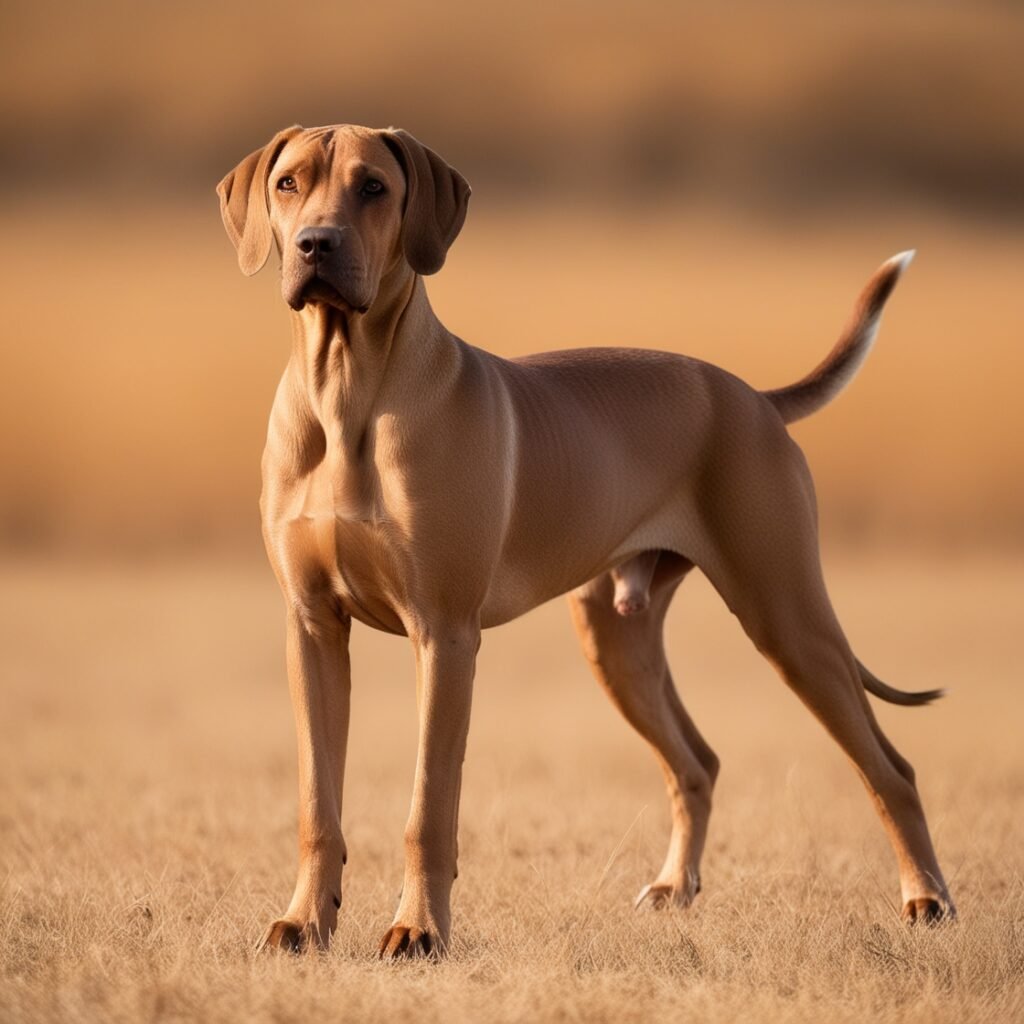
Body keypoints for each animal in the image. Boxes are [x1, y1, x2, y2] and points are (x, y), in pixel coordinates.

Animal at [218, 123, 958, 954]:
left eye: (372, 186)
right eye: (289, 182)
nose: (315, 243)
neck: (346, 390)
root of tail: (754, 398)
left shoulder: (445, 635)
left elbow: (429, 809)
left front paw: (419, 931)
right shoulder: (313, 627)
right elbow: (318, 804)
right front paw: (304, 921)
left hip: (788, 617)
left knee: (890, 769)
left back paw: (927, 898)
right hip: (616, 636)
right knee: (698, 761)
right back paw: (675, 886)